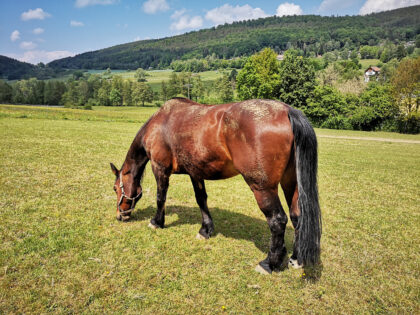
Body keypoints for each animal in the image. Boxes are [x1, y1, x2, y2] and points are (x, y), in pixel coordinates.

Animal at [110, 97, 320, 276]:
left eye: (115, 188)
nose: (121, 215)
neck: (162, 122)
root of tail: (287, 111)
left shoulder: (160, 168)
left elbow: (161, 197)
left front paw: (156, 222)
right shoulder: (195, 172)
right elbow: (201, 200)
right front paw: (205, 230)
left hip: (263, 188)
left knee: (277, 220)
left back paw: (269, 263)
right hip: (290, 182)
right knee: (297, 216)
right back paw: (295, 259)